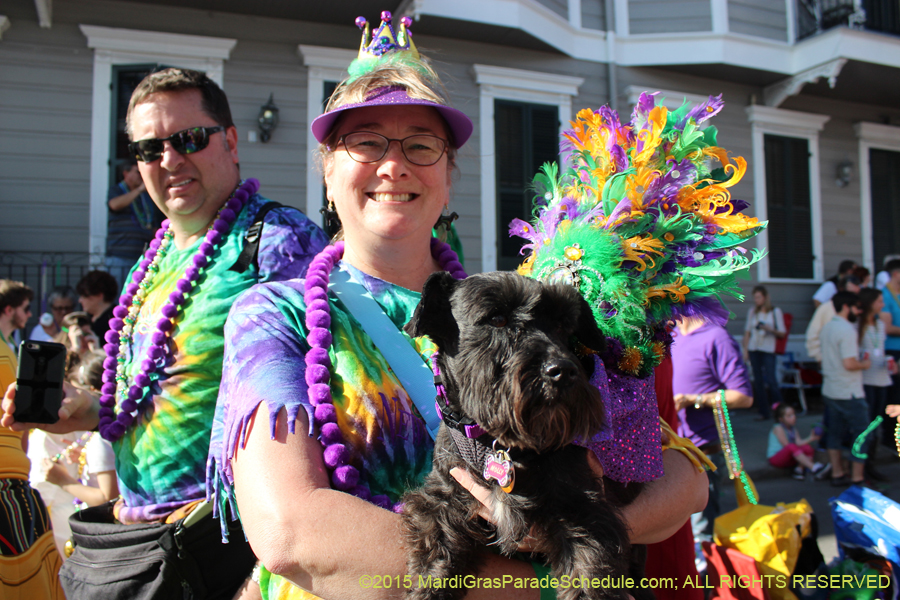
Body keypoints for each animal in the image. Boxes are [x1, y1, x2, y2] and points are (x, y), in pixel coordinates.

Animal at [404, 274, 628, 600]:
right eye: (497, 319)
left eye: (562, 324)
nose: (563, 371)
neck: (496, 442)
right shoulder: (440, 501)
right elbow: (435, 558)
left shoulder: (583, 512)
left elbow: (590, 576)